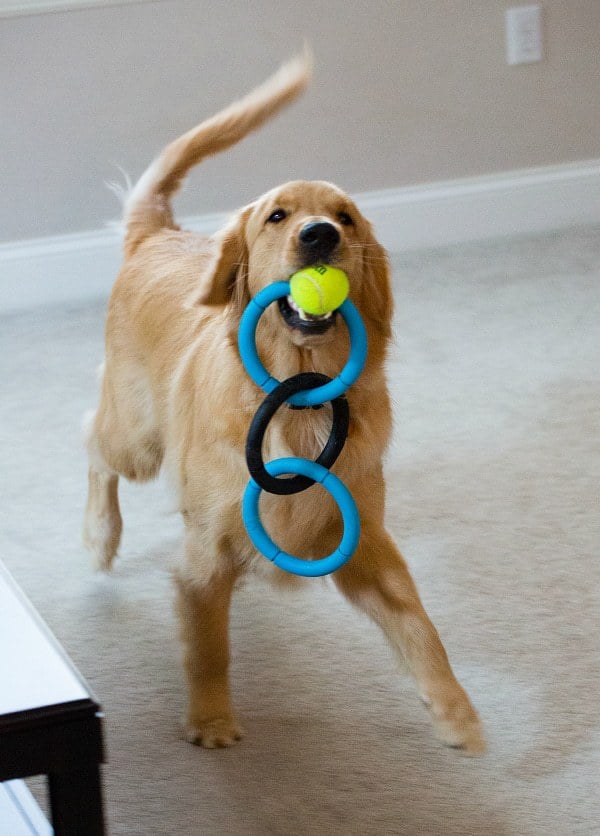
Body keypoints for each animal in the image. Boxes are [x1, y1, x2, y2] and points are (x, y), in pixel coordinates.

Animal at [82, 49, 486, 756]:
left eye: (346, 217)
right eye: (277, 216)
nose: (320, 235)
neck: (301, 400)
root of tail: (157, 234)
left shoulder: (363, 540)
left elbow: (420, 628)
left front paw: (456, 714)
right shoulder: (203, 558)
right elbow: (209, 643)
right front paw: (212, 719)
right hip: (136, 437)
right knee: (93, 447)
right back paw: (100, 537)